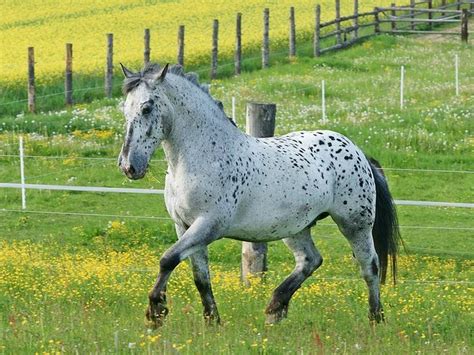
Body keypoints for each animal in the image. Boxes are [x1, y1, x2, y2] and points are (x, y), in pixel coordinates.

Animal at [117, 62, 400, 326]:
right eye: (124, 109)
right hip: (296, 227)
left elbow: (167, 259)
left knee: (370, 266)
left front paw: (156, 311)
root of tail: (358, 152)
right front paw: (212, 321)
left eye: (146, 108)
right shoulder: (184, 226)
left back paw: (376, 318)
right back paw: (275, 307)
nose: (129, 166)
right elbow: (200, 277)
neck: (206, 156)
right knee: (310, 260)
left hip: (354, 224)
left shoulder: (208, 226)